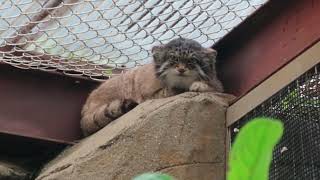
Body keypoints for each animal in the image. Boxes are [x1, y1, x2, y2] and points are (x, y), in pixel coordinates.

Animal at [81, 38, 224, 136]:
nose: (181, 69)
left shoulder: (218, 86)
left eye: (192, 61)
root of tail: (85, 108)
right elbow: (167, 91)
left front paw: (199, 85)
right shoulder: (148, 96)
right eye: (173, 58)